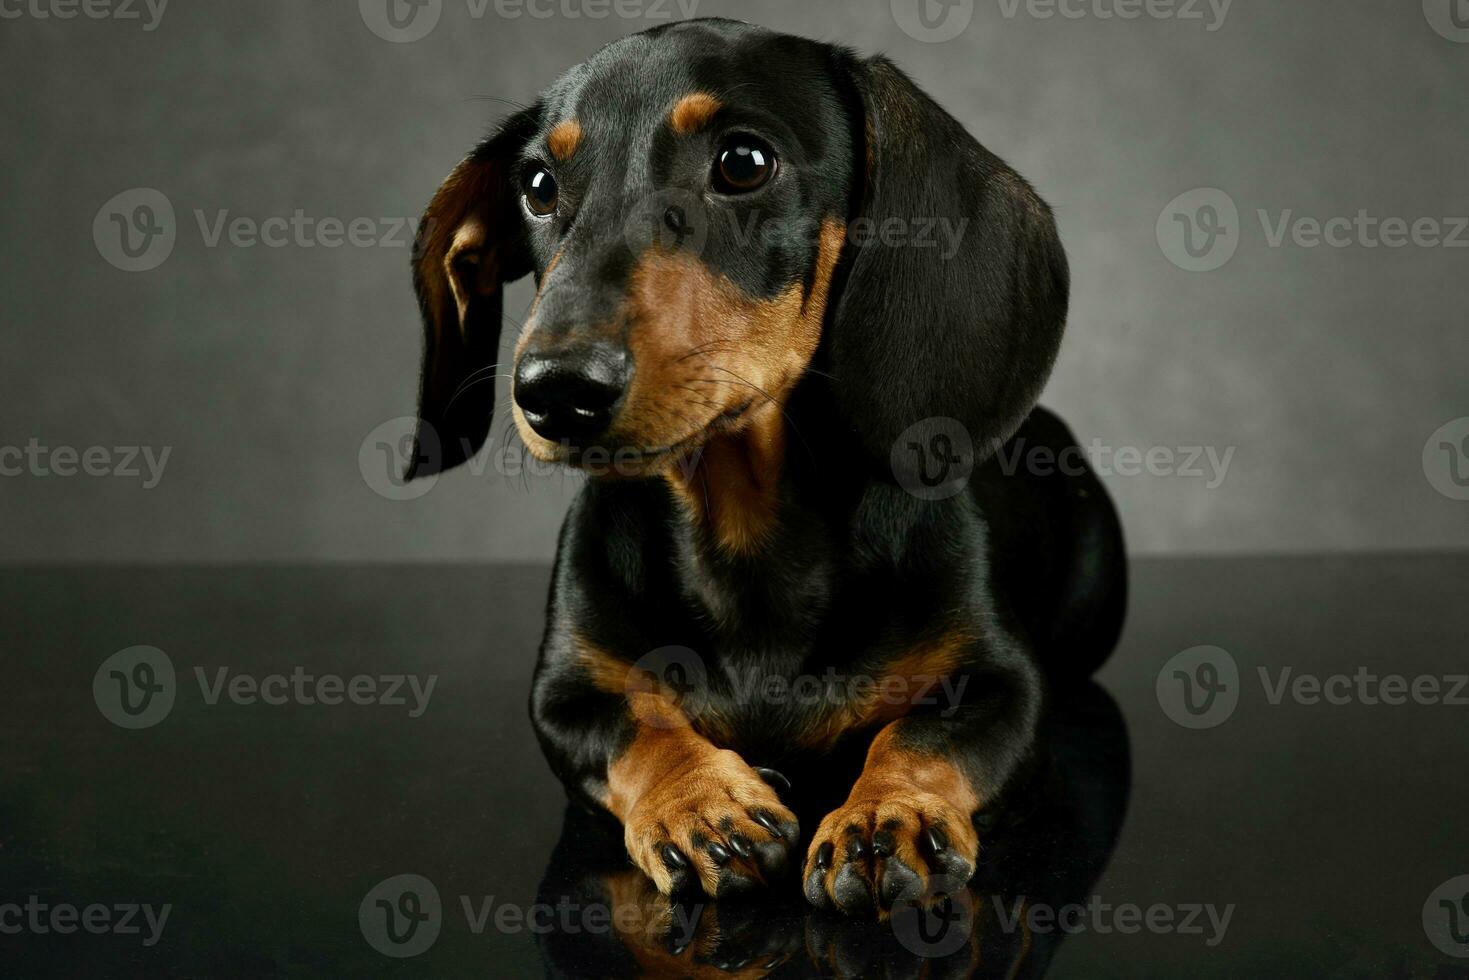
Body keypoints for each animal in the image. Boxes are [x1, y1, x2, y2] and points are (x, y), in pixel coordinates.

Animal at [402, 17, 1122, 922]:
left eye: (743, 162)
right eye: (536, 183)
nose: (555, 391)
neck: (745, 530)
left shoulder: (1004, 683)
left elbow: (923, 734)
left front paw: (888, 813)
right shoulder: (565, 691)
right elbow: (635, 728)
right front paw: (702, 805)